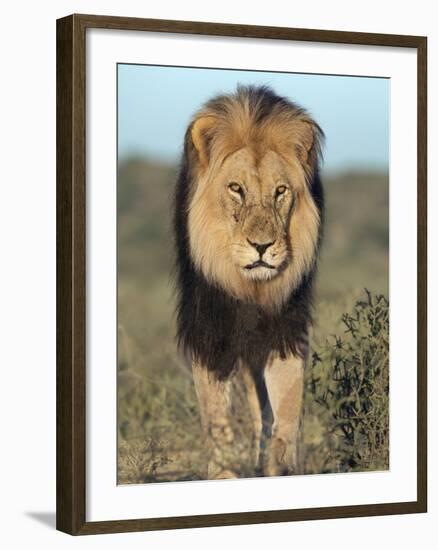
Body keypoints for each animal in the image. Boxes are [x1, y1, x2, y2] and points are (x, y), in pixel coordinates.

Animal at [173, 84, 324, 480]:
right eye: (236, 189)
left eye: (280, 191)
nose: (262, 246)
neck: (251, 288)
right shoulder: (211, 329)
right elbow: (216, 414)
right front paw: (223, 473)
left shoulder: (286, 327)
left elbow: (286, 407)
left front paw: (281, 468)